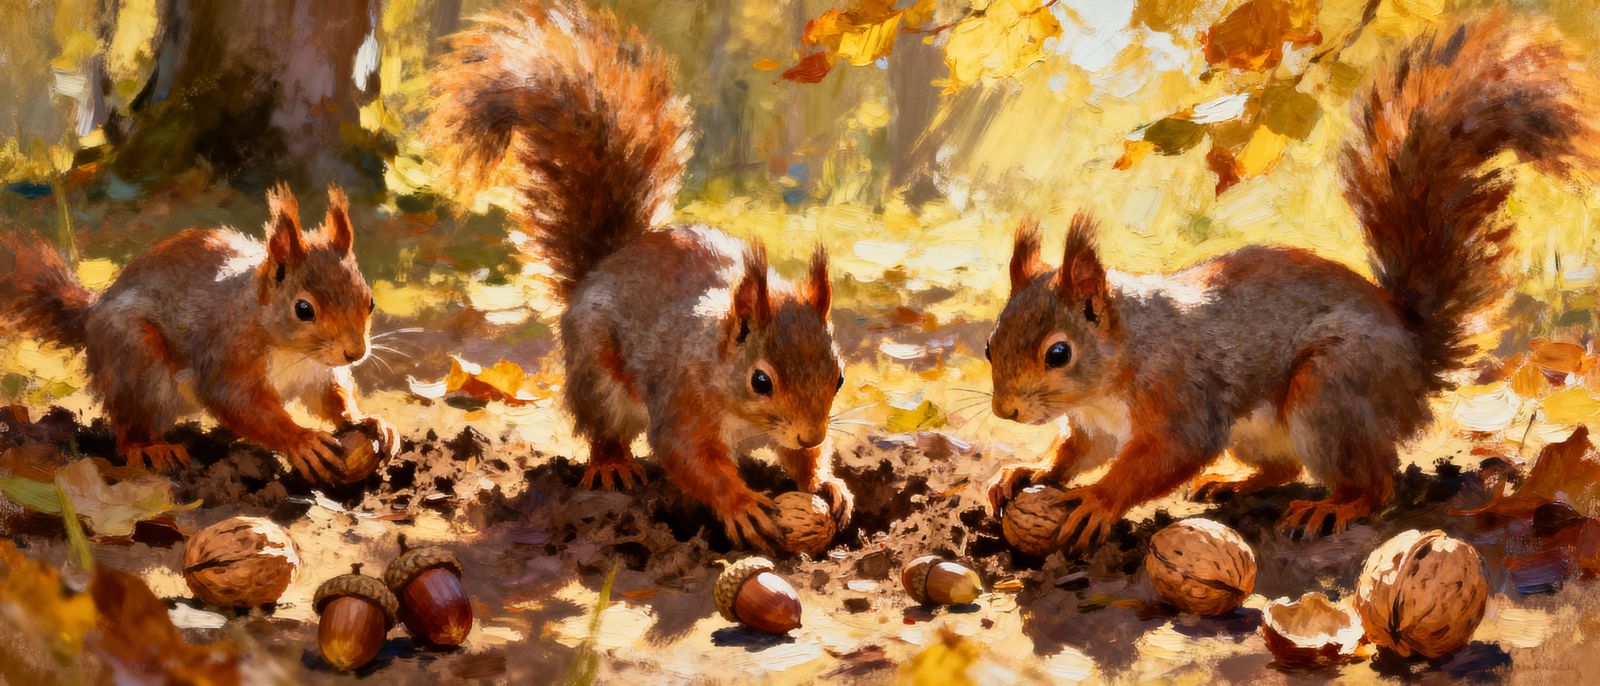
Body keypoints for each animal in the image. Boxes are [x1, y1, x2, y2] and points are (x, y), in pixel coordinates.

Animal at [0, 184, 396, 483]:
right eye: (303, 309)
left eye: (370, 301)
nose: (356, 353)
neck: (291, 350)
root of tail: (92, 316)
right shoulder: (227, 358)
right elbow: (242, 405)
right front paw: (302, 440)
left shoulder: (319, 373)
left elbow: (333, 397)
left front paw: (364, 419)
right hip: (137, 361)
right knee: (127, 427)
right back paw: (149, 447)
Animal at [424, 1, 851, 550]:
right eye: (761, 381)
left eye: (839, 377)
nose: (811, 431)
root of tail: (604, 266)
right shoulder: (681, 406)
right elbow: (689, 460)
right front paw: (741, 504)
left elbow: (802, 461)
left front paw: (827, 482)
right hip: (596, 378)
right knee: (603, 429)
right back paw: (612, 465)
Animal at [985, 15, 1600, 551]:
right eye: (990, 345)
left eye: (1058, 353)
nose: (1005, 413)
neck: (1122, 358)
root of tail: (1417, 358)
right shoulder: (1095, 427)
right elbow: (1074, 452)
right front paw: (1029, 471)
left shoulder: (1182, 398)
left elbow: (1166, 456)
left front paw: (1098, 500)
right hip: (1265, 429)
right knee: (1284, 465)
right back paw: (1233, 483)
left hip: (1328, 390)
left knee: (1376, 482)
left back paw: (1333, 506)